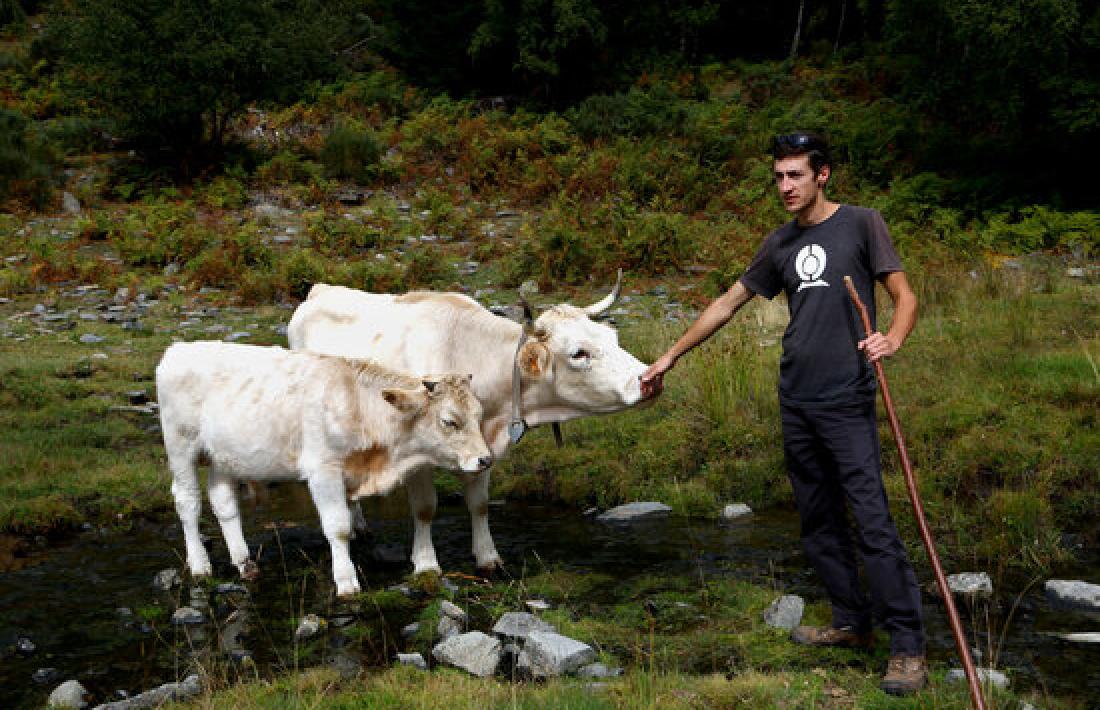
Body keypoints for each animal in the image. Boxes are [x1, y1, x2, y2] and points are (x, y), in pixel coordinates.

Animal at [157, 341, 492, 594]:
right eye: (449, 421)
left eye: (479, 414)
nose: (485, 459)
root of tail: (179, 348)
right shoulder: (323, 471)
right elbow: (338, 527)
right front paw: (346, 581)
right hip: (181, 447)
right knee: (187, 502)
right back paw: (200, 565)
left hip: (224, 456)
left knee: (224, 502)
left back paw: (245, 563)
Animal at [288, 279, 646, 572]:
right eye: (578, 353)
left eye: (612, 337)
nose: (647, 379)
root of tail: (320, 290)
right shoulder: (417, 455)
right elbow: (425, 509)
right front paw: (426, 564)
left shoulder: (484, 448)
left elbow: (479, 504)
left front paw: (488, 557)